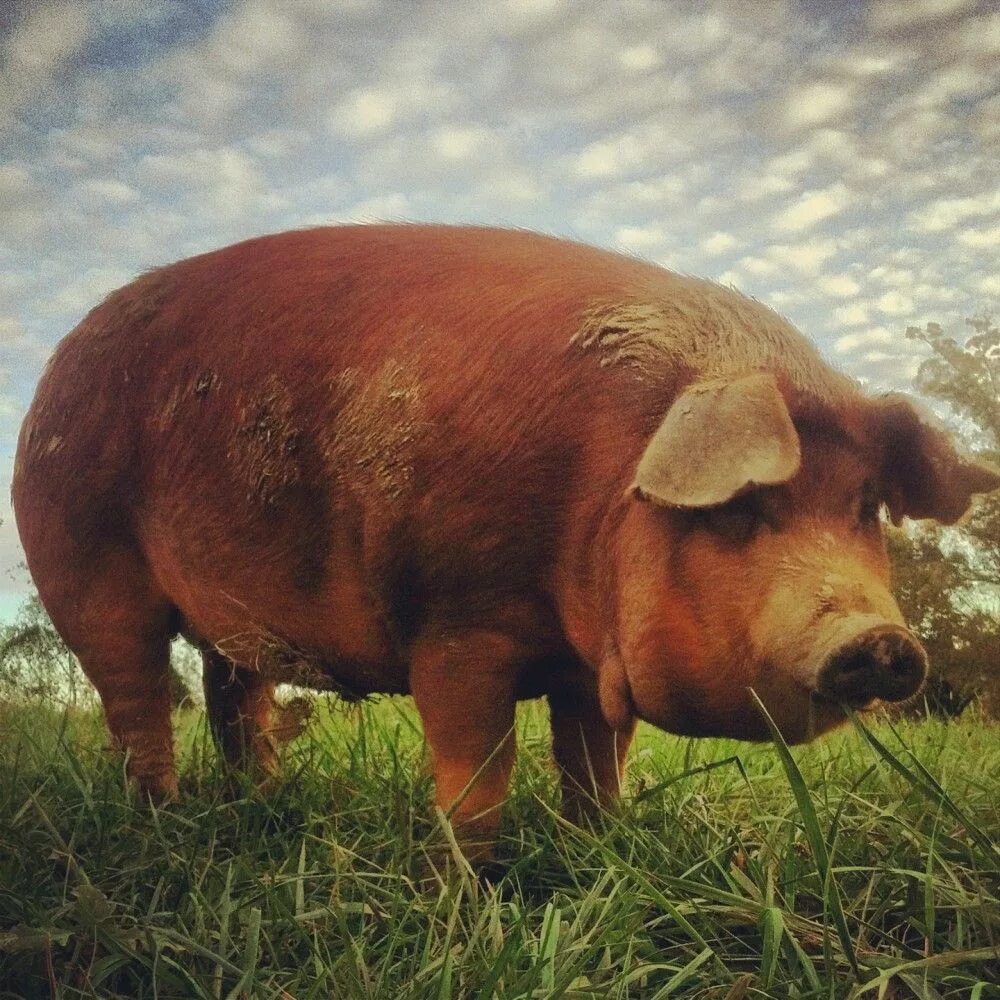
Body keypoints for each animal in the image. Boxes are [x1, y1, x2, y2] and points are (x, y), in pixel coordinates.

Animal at [11, 229, 996, 860]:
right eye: (742, 508)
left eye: (864, 506)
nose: (881, 640)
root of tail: (51, 375)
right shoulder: (455, 621)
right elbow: (477, 771)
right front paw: (473, 887)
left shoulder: (583, 662)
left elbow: (596, 762)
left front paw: (599, 851)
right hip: (84, 565)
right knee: (138, 702)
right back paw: (164, 824)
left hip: (228, 625)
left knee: (234, 699)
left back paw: (262, 806)